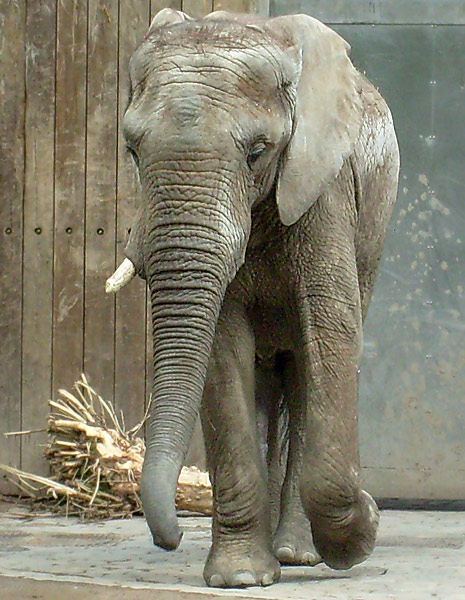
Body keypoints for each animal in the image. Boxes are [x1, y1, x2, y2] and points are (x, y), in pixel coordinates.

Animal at [105, 8, 398, 592]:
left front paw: (364, 530)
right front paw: (240, 578)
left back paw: (299, 554)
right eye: (132, 151)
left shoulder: (324, 188)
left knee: (306, 370)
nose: (171, 537)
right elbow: (221, 351)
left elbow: (332, 330)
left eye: (257, 152)